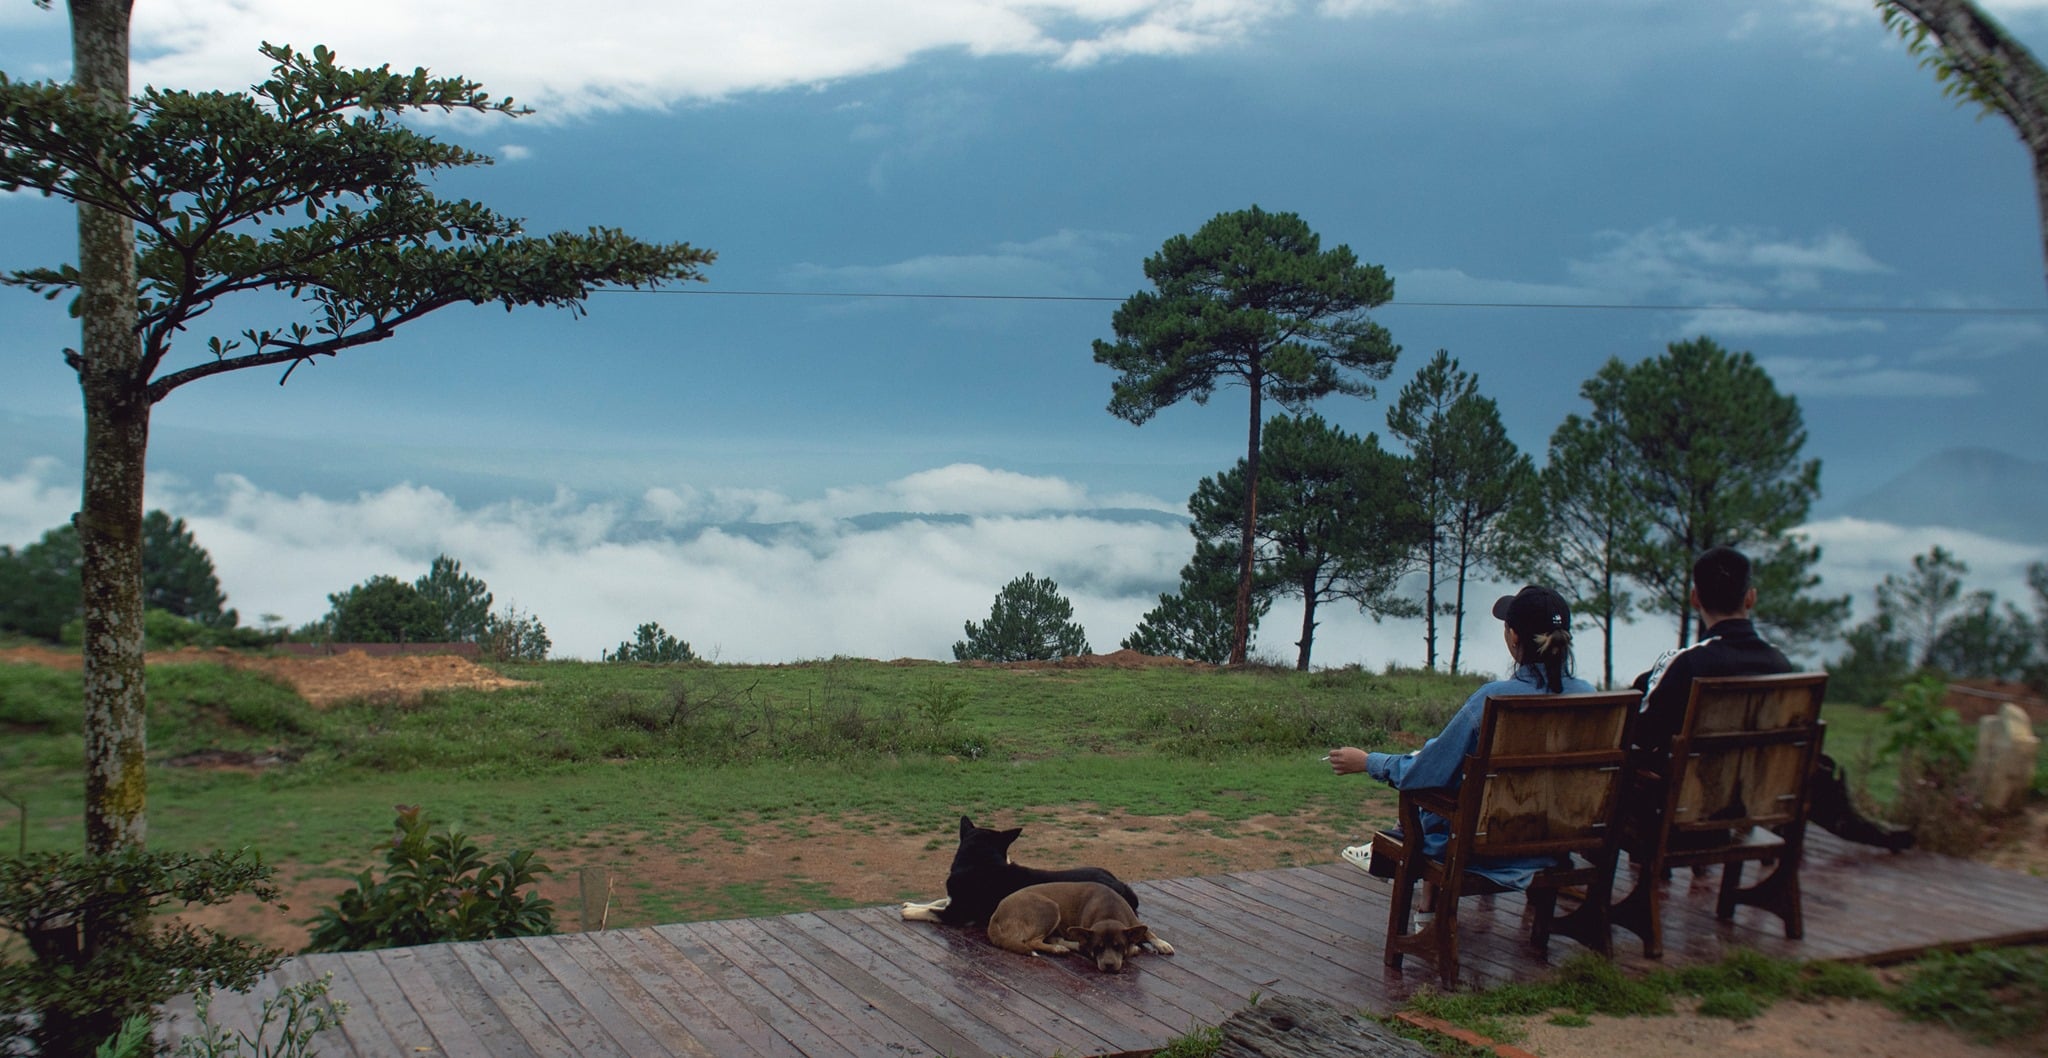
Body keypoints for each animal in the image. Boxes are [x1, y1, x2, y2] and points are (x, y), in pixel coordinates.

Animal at [905, 818, 1146, 924]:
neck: (981, 863)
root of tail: (1122, 886)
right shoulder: (952, 901)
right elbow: (938, 901)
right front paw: (913, 904)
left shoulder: (958, 914)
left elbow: (933, 911)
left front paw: (910, 911)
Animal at [987, 879, 1171, 970]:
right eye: (1098, 947)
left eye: (1118, 946)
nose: (1109, 966)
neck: (1109, 911)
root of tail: (996, 914)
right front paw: (1134, 948)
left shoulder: (1135, 923)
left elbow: (1149, 932)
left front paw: (1162, 944)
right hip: (1050, 908)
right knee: (1032, 942)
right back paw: (1058, 948)